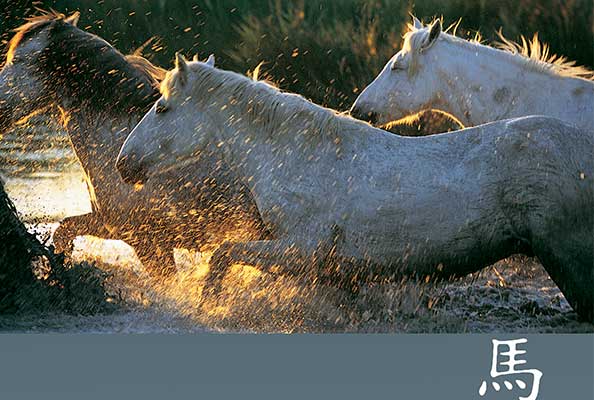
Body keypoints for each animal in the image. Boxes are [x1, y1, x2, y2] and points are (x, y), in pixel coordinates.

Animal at [117, 54, 592, 322]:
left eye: (162, 108)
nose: (124, 164)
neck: (298, 155)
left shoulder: (301, 249)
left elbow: (222, 255)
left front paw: (208, 303)